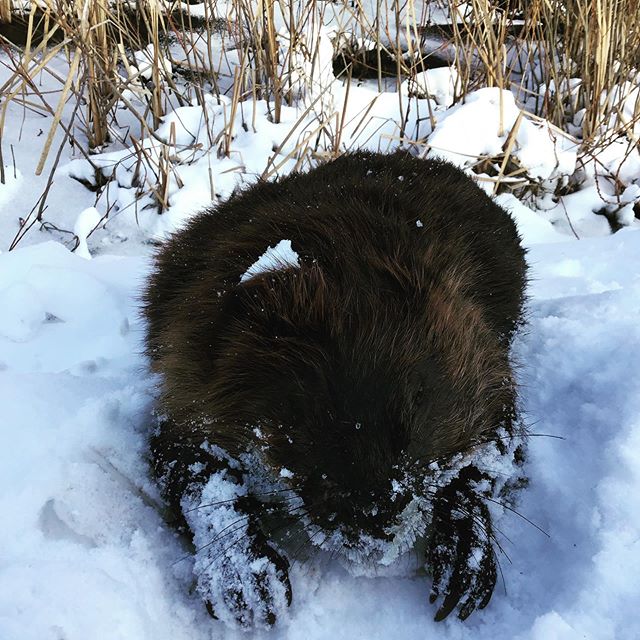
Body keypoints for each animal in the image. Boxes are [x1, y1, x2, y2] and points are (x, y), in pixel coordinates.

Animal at [142, 151, 528, 632]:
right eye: (307, 413)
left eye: (417, 403)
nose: (370, 525)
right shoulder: (191, 364)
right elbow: (186, 462)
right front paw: (250, 584)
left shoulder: (482, 353)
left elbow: (498, 448)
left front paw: (464, 567)